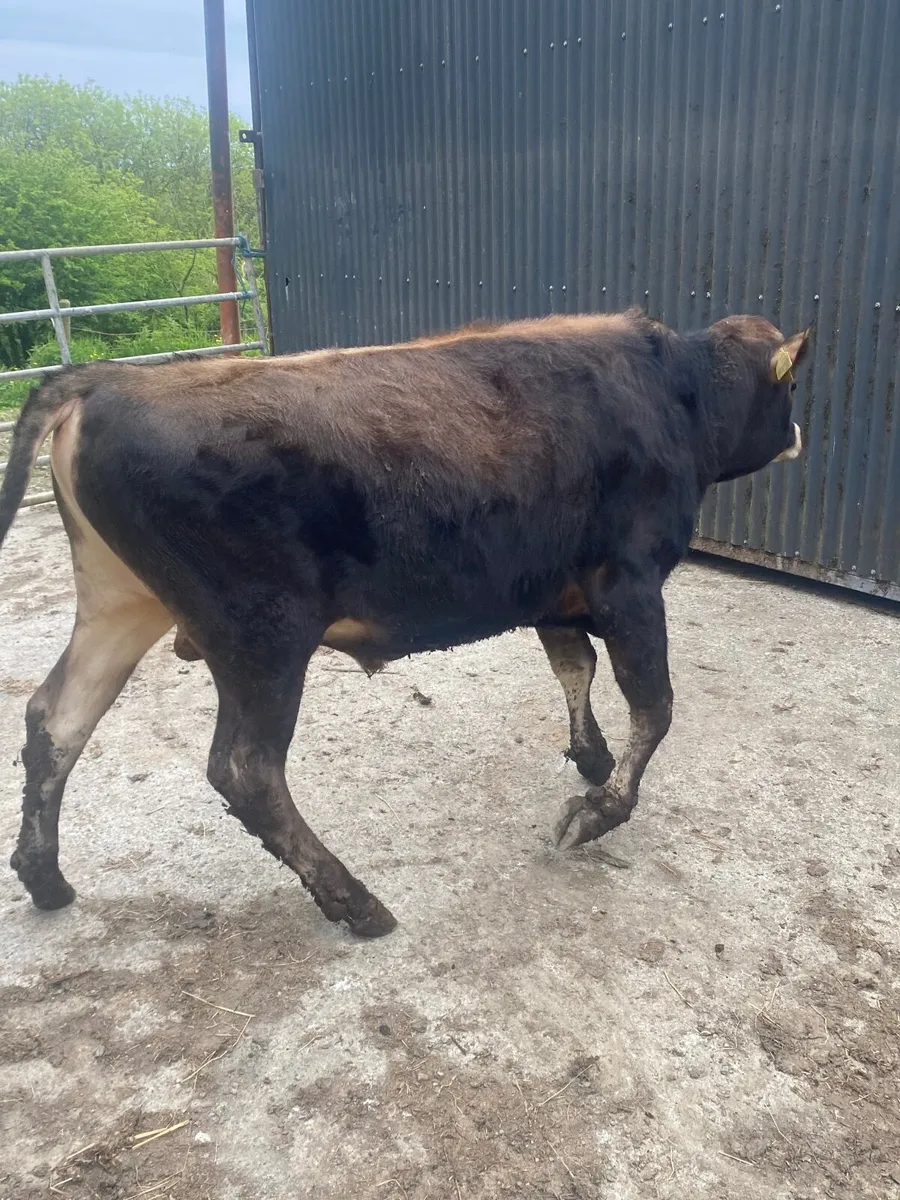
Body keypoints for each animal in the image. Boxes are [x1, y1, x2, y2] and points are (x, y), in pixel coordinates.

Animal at [0, 309, 808, 938]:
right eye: (793, 385)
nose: (799, 430)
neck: (673, 393)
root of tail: (111, 380)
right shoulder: (629, 583)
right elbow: (654, 706)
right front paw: (597, 812)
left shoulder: (555, 589)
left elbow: (573, 667)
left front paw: (591, 756)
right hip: (261, 636)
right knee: (246, 770)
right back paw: (353, 902)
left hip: (122, 605)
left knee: (55, 720)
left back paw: (45, 877)